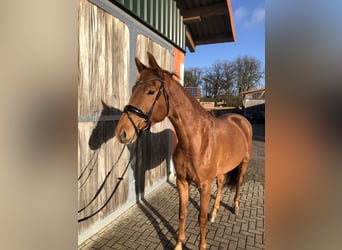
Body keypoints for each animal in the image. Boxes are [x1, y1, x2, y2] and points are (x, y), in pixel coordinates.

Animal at [116, 52, 252, 248]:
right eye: (134, 89)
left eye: (150, 91)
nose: (122, 132)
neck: (196, 141)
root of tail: (240, 119)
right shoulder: (182, 181)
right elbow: (183, 213)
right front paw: (179, 244)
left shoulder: (204, 186)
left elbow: (201, 219)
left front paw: (202, 245)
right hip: (221, 170)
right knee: (220, 184)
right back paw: (214, 213)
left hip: (244, 164)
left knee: (239, 183)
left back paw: (235, 207)